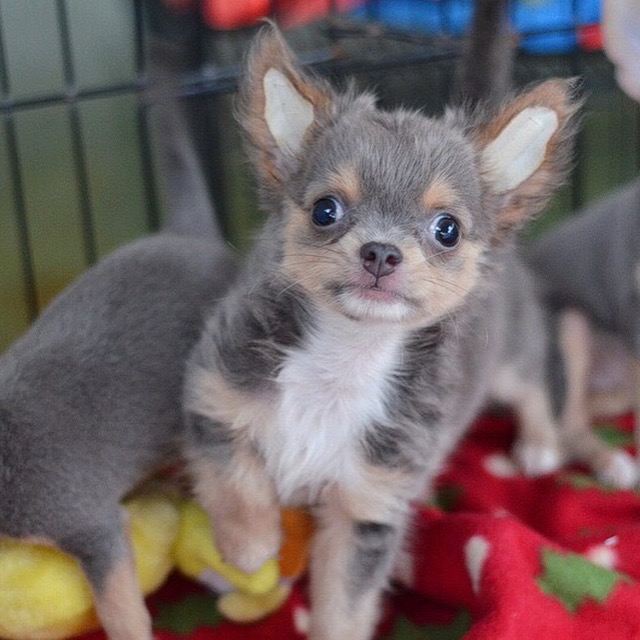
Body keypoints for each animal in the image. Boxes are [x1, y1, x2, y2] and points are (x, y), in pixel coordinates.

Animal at [182, 21, 581, 639]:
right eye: (326, 210)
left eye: (447, 230)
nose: (381, 252)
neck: (345, 357)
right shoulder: (215, 394)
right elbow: (234, 478)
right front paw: (251, 546)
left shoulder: (368, 507)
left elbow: (344, 604)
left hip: (509, 354)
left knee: (535, 376)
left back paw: (539, 444)